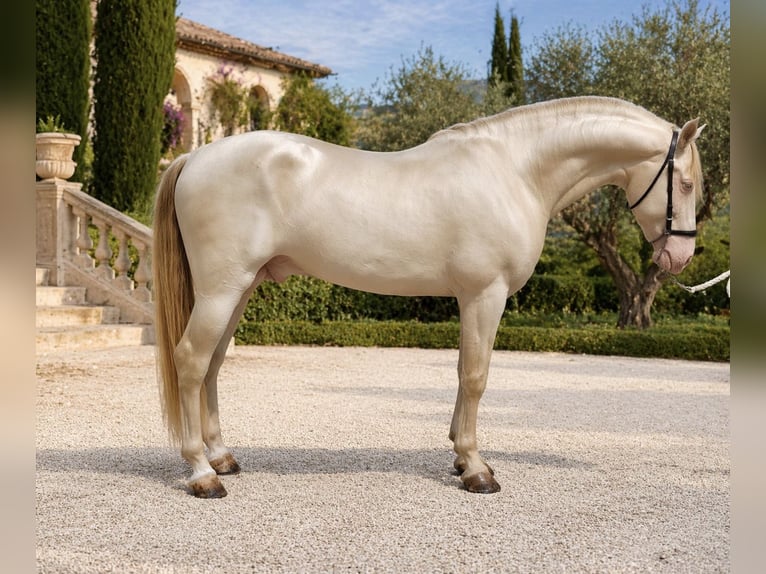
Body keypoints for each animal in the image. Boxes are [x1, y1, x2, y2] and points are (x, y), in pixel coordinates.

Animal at [153, 96, 705, 498]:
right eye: (685, 182)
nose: (679, 257)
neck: (515, 171)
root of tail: (195, 156)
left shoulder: (471, 298)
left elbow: (462, 373)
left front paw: (461, 458)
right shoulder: (485, 294)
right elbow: (476, 376)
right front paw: (477, 470)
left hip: (238, 288)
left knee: (212, 366)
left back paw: (222, 457)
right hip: (222, 289)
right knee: (191, 361)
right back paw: (202, 474)